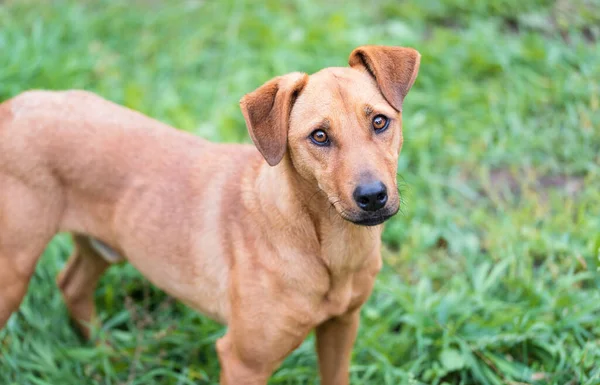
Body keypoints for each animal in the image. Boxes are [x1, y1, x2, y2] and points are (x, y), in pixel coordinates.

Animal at [0, 46, 420, 382]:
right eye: (319, 136)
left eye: (379, 121)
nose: (372, 196)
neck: (328, 248)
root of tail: (14, 106)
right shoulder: (243, 362)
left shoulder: (341, 326)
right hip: (13, 271)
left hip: (103, 247)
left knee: (71, 286)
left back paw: (108, 354)